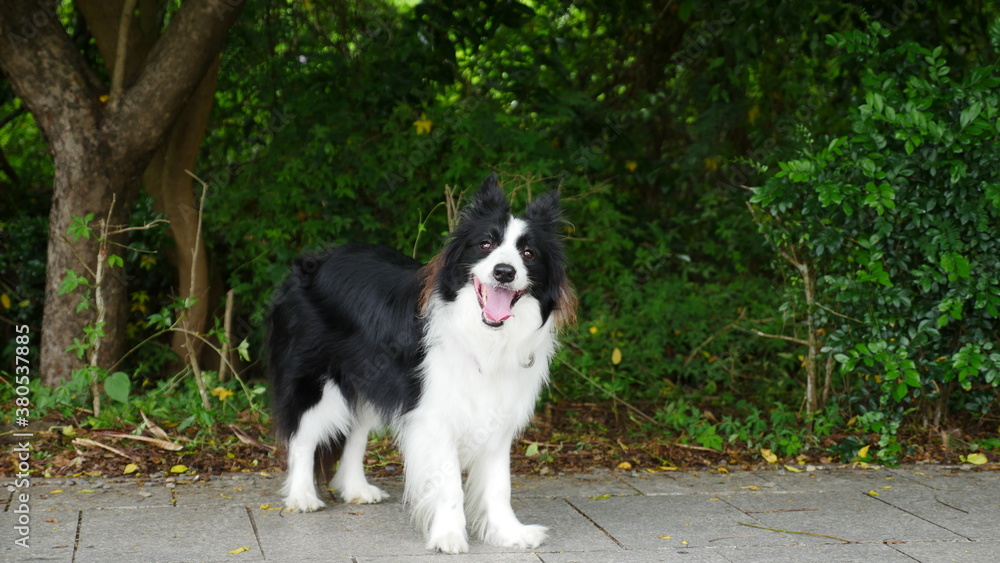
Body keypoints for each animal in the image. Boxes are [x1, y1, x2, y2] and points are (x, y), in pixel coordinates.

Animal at [270, 174, 576, 552]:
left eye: (528, 253)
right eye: (486, 244)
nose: (504, 272)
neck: (483, 334)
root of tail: (315, 260)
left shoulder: (495, 413)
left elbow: (499, 483)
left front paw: (508, 533)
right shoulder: (434, 416)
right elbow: (449, 483)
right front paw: (448, 536)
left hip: (371, 378)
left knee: (355, 432)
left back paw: (356, 489)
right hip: (315, 378)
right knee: (303, 434)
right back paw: (302, 497)